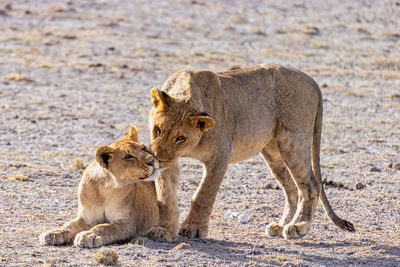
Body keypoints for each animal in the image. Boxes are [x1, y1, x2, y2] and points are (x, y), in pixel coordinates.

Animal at [39, 126, 176, 248]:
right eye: (128, 156)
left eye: (144, 148)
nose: (152, 161)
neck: (106, 189)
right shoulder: (86, 218)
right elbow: (69, 225)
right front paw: (53, 234)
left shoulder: (127, 223)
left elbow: (104, 227)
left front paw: (88, 236)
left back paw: (158, 233)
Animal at [149, 64, 354, 241]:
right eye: (158, 129)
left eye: (180, 138)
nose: (156, 158)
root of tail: (311, 80)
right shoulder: (170, 160)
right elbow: (166, 195)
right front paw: (163, 230)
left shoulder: (220, 156)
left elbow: (203, 194)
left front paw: (193, 228)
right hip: (273, 152)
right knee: (291, 189)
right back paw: (280, 226)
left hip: (293, 142)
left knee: (311, 186)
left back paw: (299, 226)